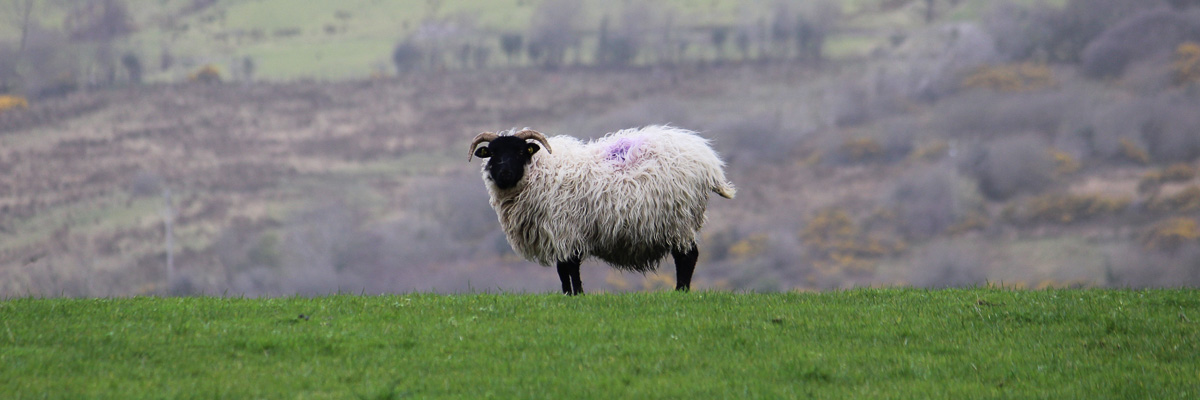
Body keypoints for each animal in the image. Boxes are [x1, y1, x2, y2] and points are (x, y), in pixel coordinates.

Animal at [468, 125, 735, 295]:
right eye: (493, 153)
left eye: (521, 151)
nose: (504, 173)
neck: (539, 172)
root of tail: (709, 163)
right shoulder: (562, 233)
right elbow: (565, 269)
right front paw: (569, 296)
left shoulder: (565, 229)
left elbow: (569, 268)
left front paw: (577, 296)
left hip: (680, 217)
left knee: (687, 256)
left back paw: (681, 292)